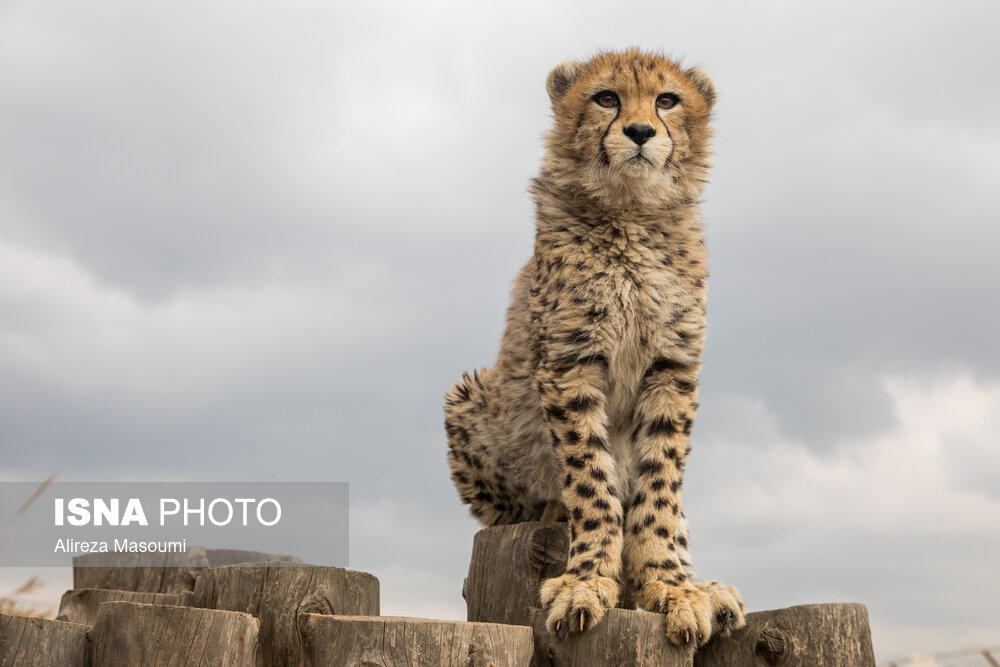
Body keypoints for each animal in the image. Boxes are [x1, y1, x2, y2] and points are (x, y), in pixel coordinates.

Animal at [446, 49, 744, 648]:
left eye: (667, 100)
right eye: (606, 98)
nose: (639, 131)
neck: (631, 212)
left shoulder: (672, 368)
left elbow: (660, 489)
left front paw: (671, 584)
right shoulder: (570, 363)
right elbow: (591, 478)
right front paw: (587, 579)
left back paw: (708, 588)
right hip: (472, 399)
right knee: (522, 507)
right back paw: (553, 513)